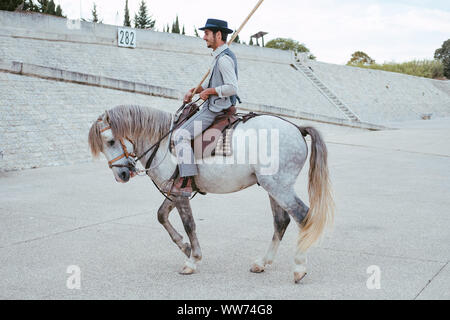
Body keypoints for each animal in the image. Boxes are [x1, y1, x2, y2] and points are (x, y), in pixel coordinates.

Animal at [89, 105, 334, 282]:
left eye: (111, 141)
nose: (121, 174)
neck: (163, 142)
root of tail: (297, 129)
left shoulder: (180, 194)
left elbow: (189, 224)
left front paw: (192, 260)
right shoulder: (175, 191)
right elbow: (161, 216)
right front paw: (186, 247)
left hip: (279, 187)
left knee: (302, 216)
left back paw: (299, 267)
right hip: (272, 188)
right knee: (281, 222)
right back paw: (263, 263)